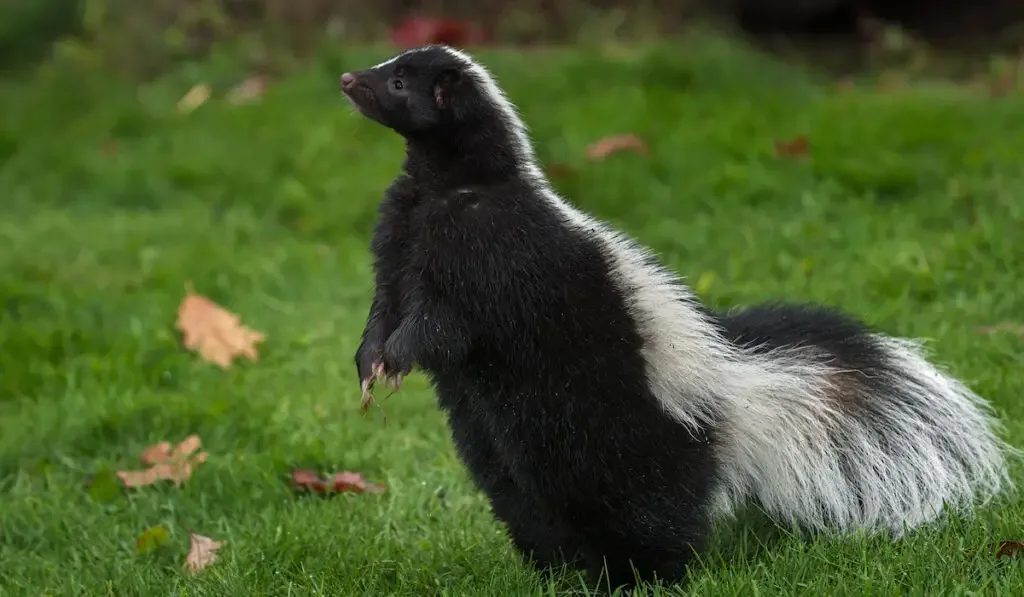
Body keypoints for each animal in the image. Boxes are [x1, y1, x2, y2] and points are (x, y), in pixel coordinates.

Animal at [339, 44, 1011, 589]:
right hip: (508, 442)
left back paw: (639, 579)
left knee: (641, 511)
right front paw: (369, 362)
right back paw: (559, 574)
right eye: (388, 68)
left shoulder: (493, 256)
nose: (348, 77)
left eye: (398, 82)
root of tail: (737, 396)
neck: (451, 184)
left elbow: (443, 323)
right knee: (527, 499)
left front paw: (395, 360)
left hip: (621, 431)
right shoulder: (400, 237)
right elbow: (385, 305)